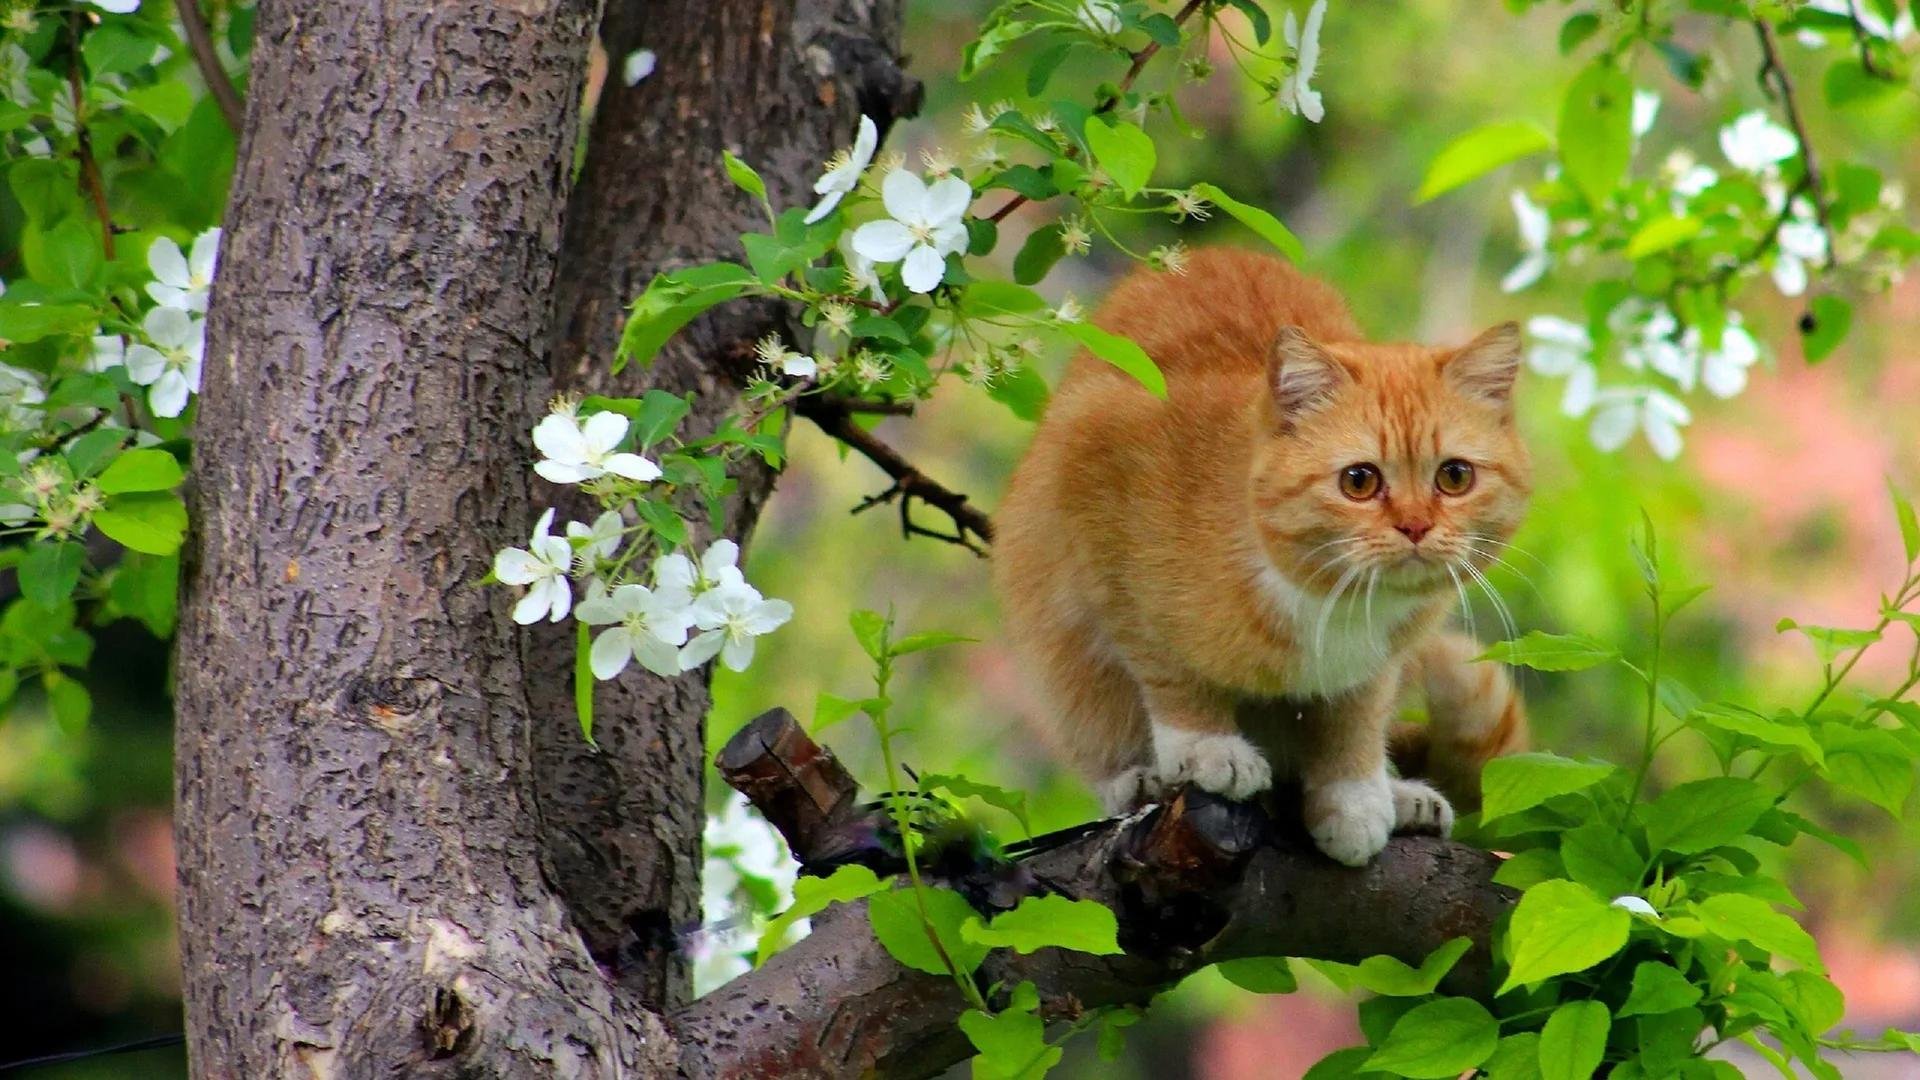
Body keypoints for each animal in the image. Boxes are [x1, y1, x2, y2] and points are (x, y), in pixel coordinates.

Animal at [1006, 247, 1528, 860]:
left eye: (1454, 476)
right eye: (1359, 481)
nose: (1416, 526)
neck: (1328, 600)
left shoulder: (1384, 658)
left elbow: (1357, 713)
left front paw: (1355, 792)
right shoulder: (1096, 490)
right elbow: (1166, 663)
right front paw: (1207, 747)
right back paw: (1140, 779)